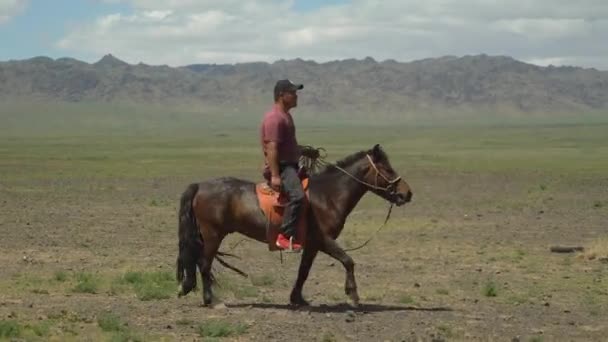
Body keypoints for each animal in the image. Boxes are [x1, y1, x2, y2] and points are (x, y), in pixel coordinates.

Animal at [176, 143, 414, 306]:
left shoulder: (312, 245)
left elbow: (304, 271)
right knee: (204, 263)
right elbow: (348, 261)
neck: (327, 195)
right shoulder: (323, 240)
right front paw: (353, 295)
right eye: (388, 170)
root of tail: (199, 186)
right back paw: (210, 299)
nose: (407, 193)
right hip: (213, 234)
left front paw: (297, 298)